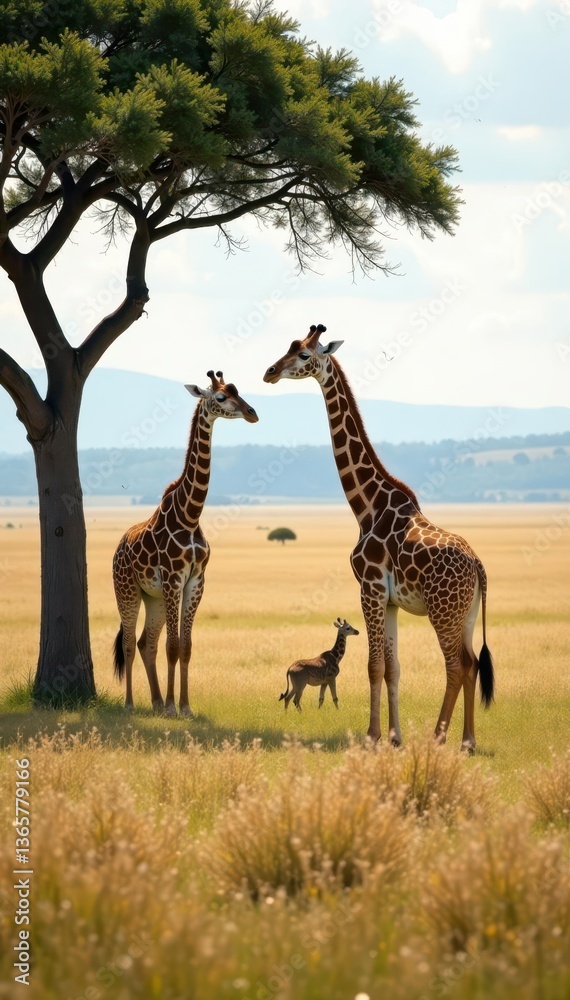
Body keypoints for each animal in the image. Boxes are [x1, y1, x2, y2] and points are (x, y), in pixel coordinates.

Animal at [112, 371, 258, 716]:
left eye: (238, 391)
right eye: (220, 397)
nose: (252, 413)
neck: (190, 515)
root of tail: (118, 548)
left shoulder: (196, 580)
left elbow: (186, 647)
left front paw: (184, 707)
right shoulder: (173, 579)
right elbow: (173, 645)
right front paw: (171, 708)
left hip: (151, 597)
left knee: (145, 643)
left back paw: (153, 702)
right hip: (127, 590)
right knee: (129, 643)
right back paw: (130, 704)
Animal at [264, 325, 494, 751]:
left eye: (304, 355)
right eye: (290, 346)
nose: (269, 372)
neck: (366, 505)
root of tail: (477, 565)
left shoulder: (368, 588)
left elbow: (372, 666)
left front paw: (372, 736)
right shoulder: (390, 601)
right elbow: (392, 668)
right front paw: (394, 736)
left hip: (442, 611)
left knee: (456, 665)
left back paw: (439, 737)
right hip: (467, 614)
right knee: (471, 664)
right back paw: (467, 741)